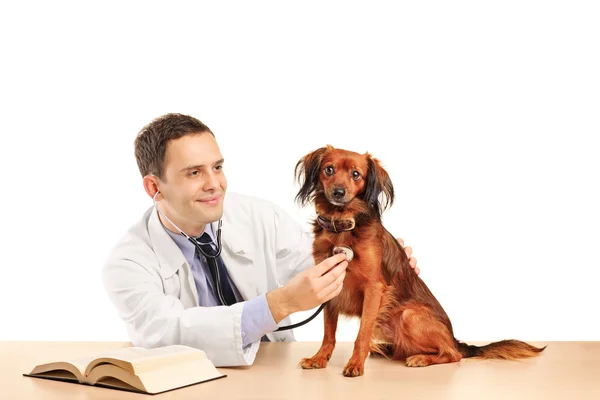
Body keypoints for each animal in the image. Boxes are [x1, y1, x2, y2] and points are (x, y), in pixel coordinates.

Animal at [292, 145, 548, 376]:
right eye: (329, 169)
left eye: (356, 174)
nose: (338, 192)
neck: (342, 225)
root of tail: (455, 339)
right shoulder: (330, 286)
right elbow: (328, 333)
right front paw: (319, 359)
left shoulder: (374, 289)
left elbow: (362, 335)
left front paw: (355, 364)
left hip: (408, 315)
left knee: (453, 354)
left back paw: (422, 359)